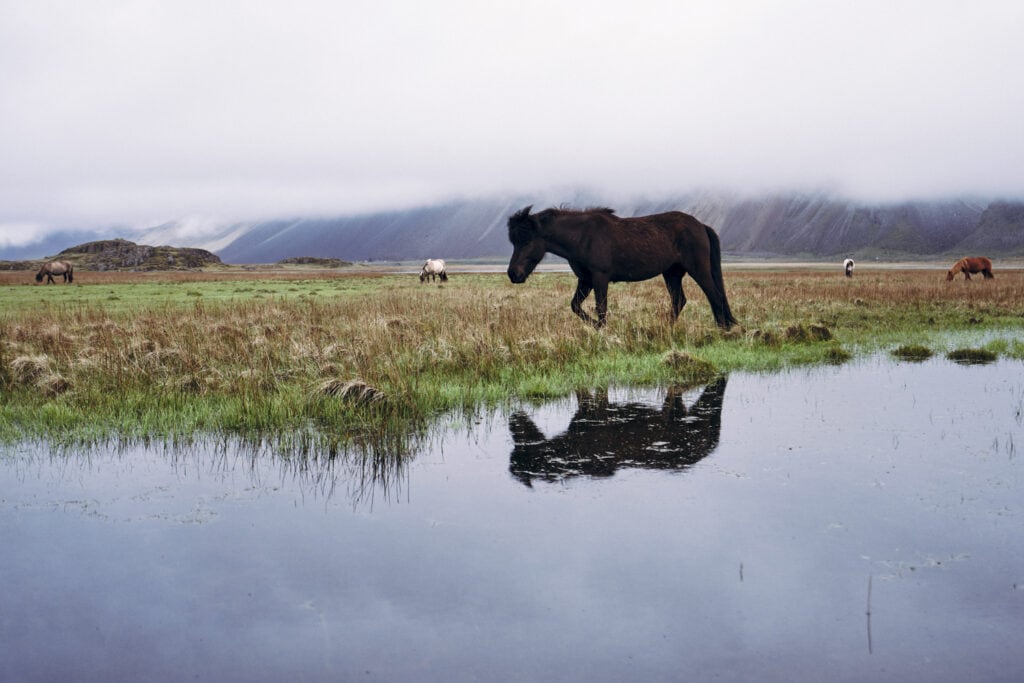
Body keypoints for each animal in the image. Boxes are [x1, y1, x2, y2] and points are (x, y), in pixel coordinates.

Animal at [505, 204, 737, 329]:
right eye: (513, 241)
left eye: (526, 240)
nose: (513, 274)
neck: (582, 236)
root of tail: (701, 226)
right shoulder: (585, 280)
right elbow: (575, 306)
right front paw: (595, 326)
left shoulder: (600, 277)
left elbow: (601, 307)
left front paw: (602, 329)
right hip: (671, 274)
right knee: (679, 300)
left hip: (698, 270)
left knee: (714, 295)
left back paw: (722, 330)